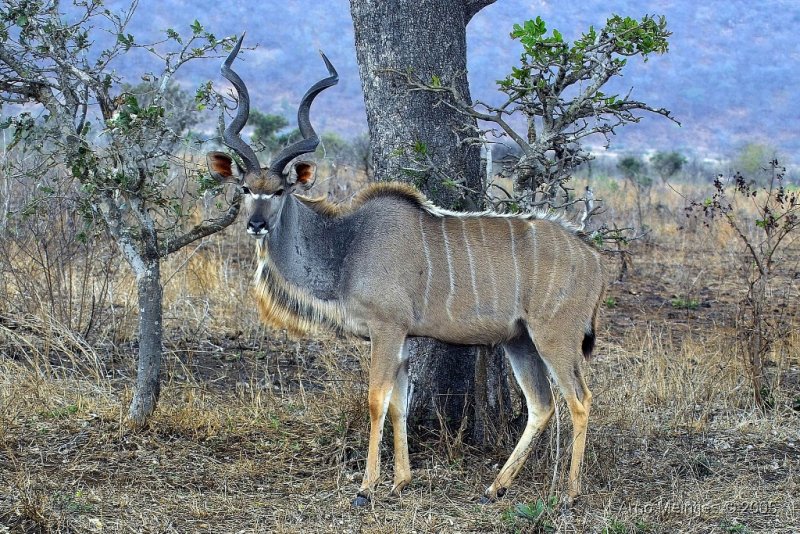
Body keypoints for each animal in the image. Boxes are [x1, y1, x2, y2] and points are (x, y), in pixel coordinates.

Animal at [208, 36, 608, 506]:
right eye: (245, 187)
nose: (256, 224)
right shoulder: (402, 338)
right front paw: (401, 480)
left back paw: (569, 494)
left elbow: (376, 399)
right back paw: (495, 487)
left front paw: (367, 487)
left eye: (279, 190)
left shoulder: (387, 329)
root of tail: (593, 257)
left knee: (580, 400)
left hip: (554, 335)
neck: (347, 243)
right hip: (520, 340)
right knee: (541, 405)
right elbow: (400, 402)